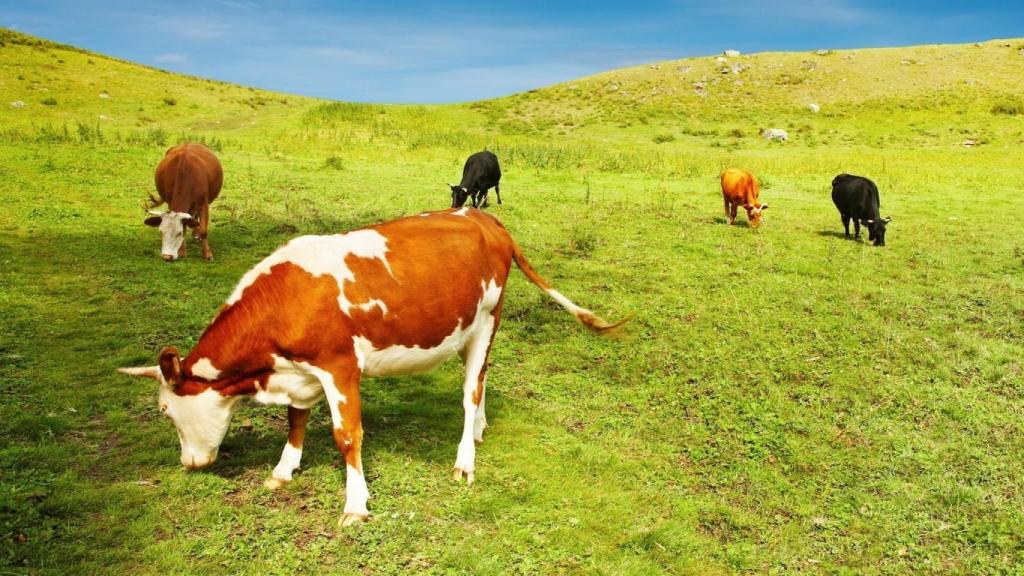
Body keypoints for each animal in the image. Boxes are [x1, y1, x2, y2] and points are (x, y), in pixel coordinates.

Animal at [119, 208, 627, 527]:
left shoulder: (339, 365)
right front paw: (283, 470)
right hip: (470, 328)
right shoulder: (300, 371)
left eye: (166, 411)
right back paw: (481, 429)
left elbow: (347, 436)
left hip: (488, 317)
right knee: (481, 376)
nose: (189, 463)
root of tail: (484, 218)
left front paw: (356, 505)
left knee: (470, 392)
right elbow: (295, 420)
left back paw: (465, 459)